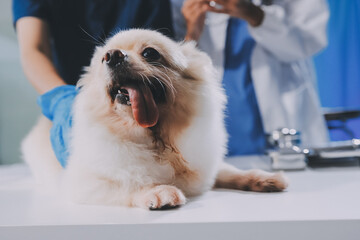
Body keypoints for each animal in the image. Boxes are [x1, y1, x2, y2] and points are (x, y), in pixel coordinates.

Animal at [21, 29, 286, 210]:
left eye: (150, 53)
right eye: (103, 59)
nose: (113, 55)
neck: (159, 140)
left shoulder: (205, 167)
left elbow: (231, 171)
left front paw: (263, 178)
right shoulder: (83, 184)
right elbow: (130, 183)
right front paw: (159, 192)